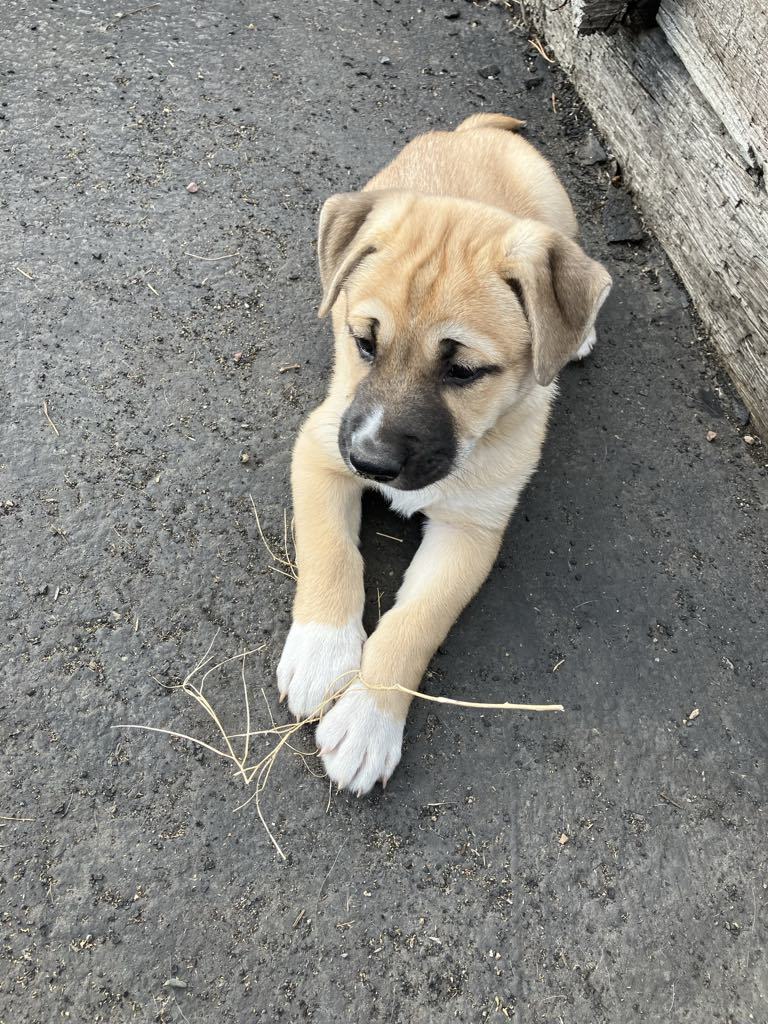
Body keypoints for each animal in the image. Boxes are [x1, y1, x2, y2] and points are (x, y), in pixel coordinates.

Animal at [276, 116, 614, 794]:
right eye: (363, 342)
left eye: (463, 371)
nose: (371, 462)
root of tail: (470, 129)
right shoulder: (321, 450)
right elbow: (330, 555)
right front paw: (322, 653)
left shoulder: (471, 531)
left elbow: (416, 623)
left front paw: (368, 721)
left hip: (559, 212)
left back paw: (579, 333)